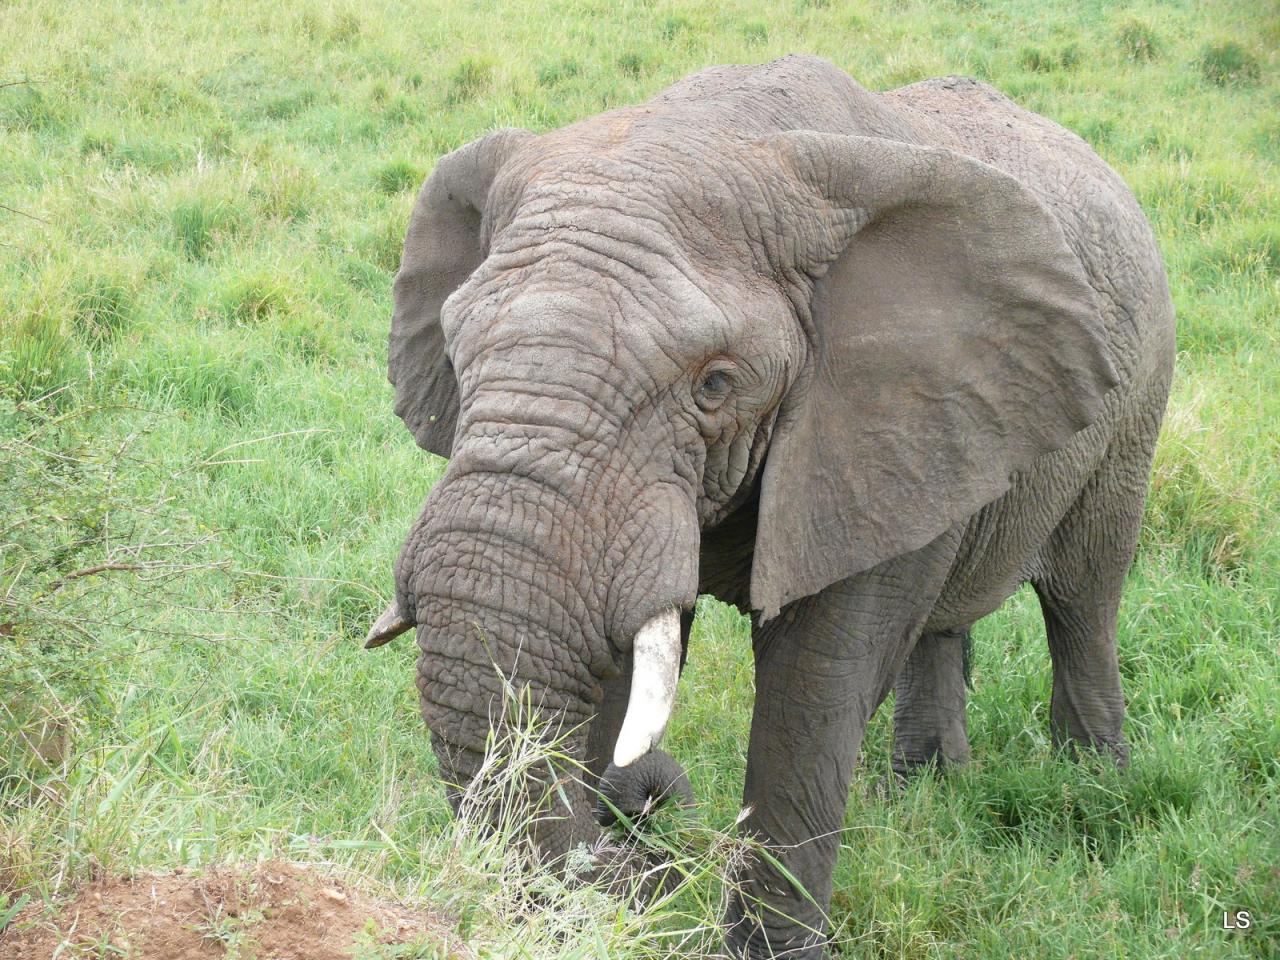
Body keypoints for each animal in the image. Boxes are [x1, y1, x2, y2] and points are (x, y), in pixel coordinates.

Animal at [360, 54, 1172, 960]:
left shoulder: (870, 416)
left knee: (1084, 595)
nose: (644, 823)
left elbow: (817, 683)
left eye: (715, 384)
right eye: (456, 349)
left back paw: (1092, 789)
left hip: (1135, 403)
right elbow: (626, 658)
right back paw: (924, 792)